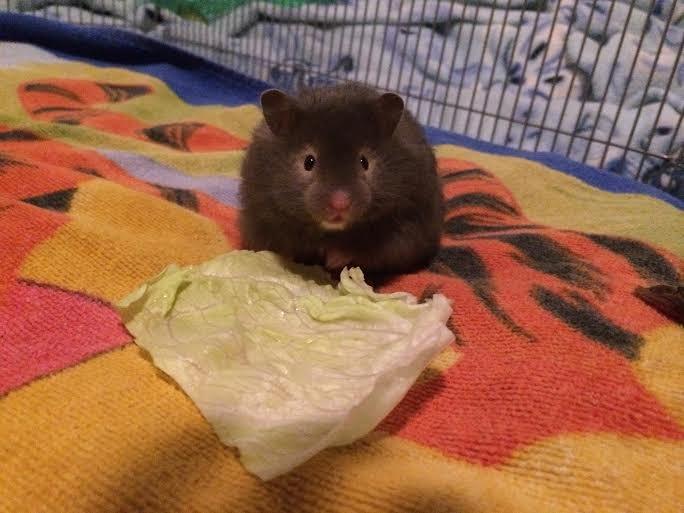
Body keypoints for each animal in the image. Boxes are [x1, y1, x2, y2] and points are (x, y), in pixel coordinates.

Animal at [239, 82, 444, 277]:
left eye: (364, 162)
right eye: (308, 161)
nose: (340, 204)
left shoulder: (407, 221)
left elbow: (366, 249)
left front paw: (334, 259)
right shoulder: (264, 215)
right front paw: (320, 251)